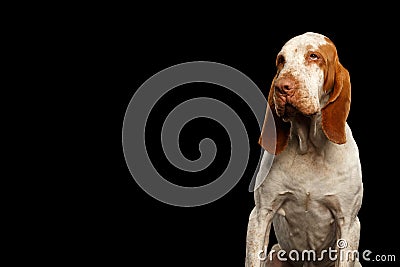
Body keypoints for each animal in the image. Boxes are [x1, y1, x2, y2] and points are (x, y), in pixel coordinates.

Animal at [245, 31, 364, 267]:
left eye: (314, 56)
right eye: (281, 60)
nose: (282, 87)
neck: (309, 147)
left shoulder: (348, 223)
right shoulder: (260, 215)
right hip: (275, 252)